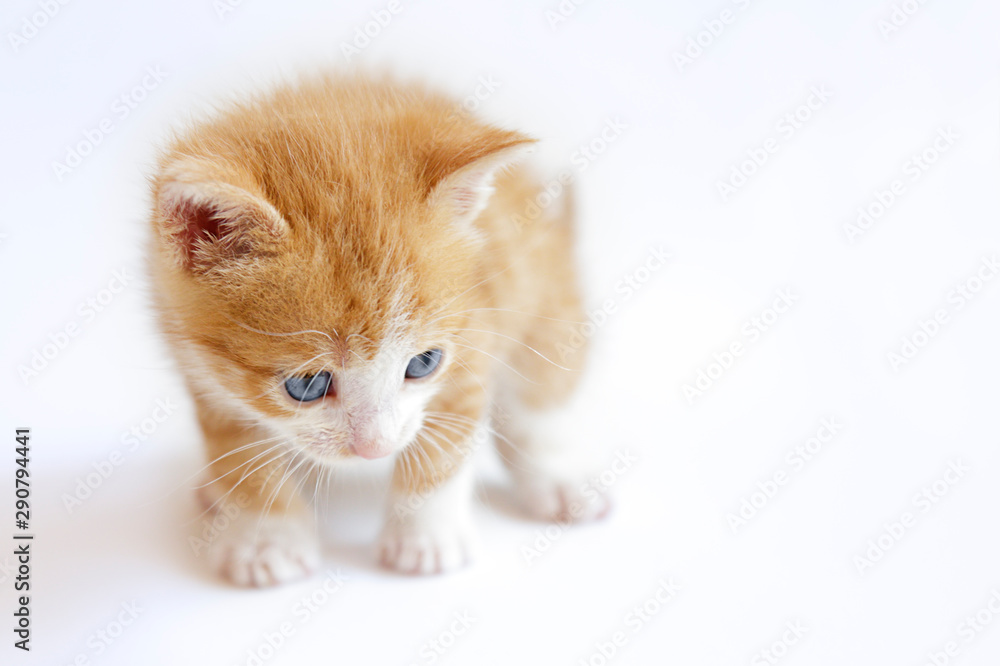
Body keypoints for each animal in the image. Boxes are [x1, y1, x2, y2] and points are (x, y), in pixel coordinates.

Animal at [146, 74, 604, 588]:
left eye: (423, 363)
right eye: (307, 385)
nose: (375, 449)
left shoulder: (474, 332)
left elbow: (447, 439)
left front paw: (424, 538)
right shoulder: (200, 364)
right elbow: (238, 455)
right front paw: (266, 540)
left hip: (544, 290)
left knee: (540, 396)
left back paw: (559, 478)